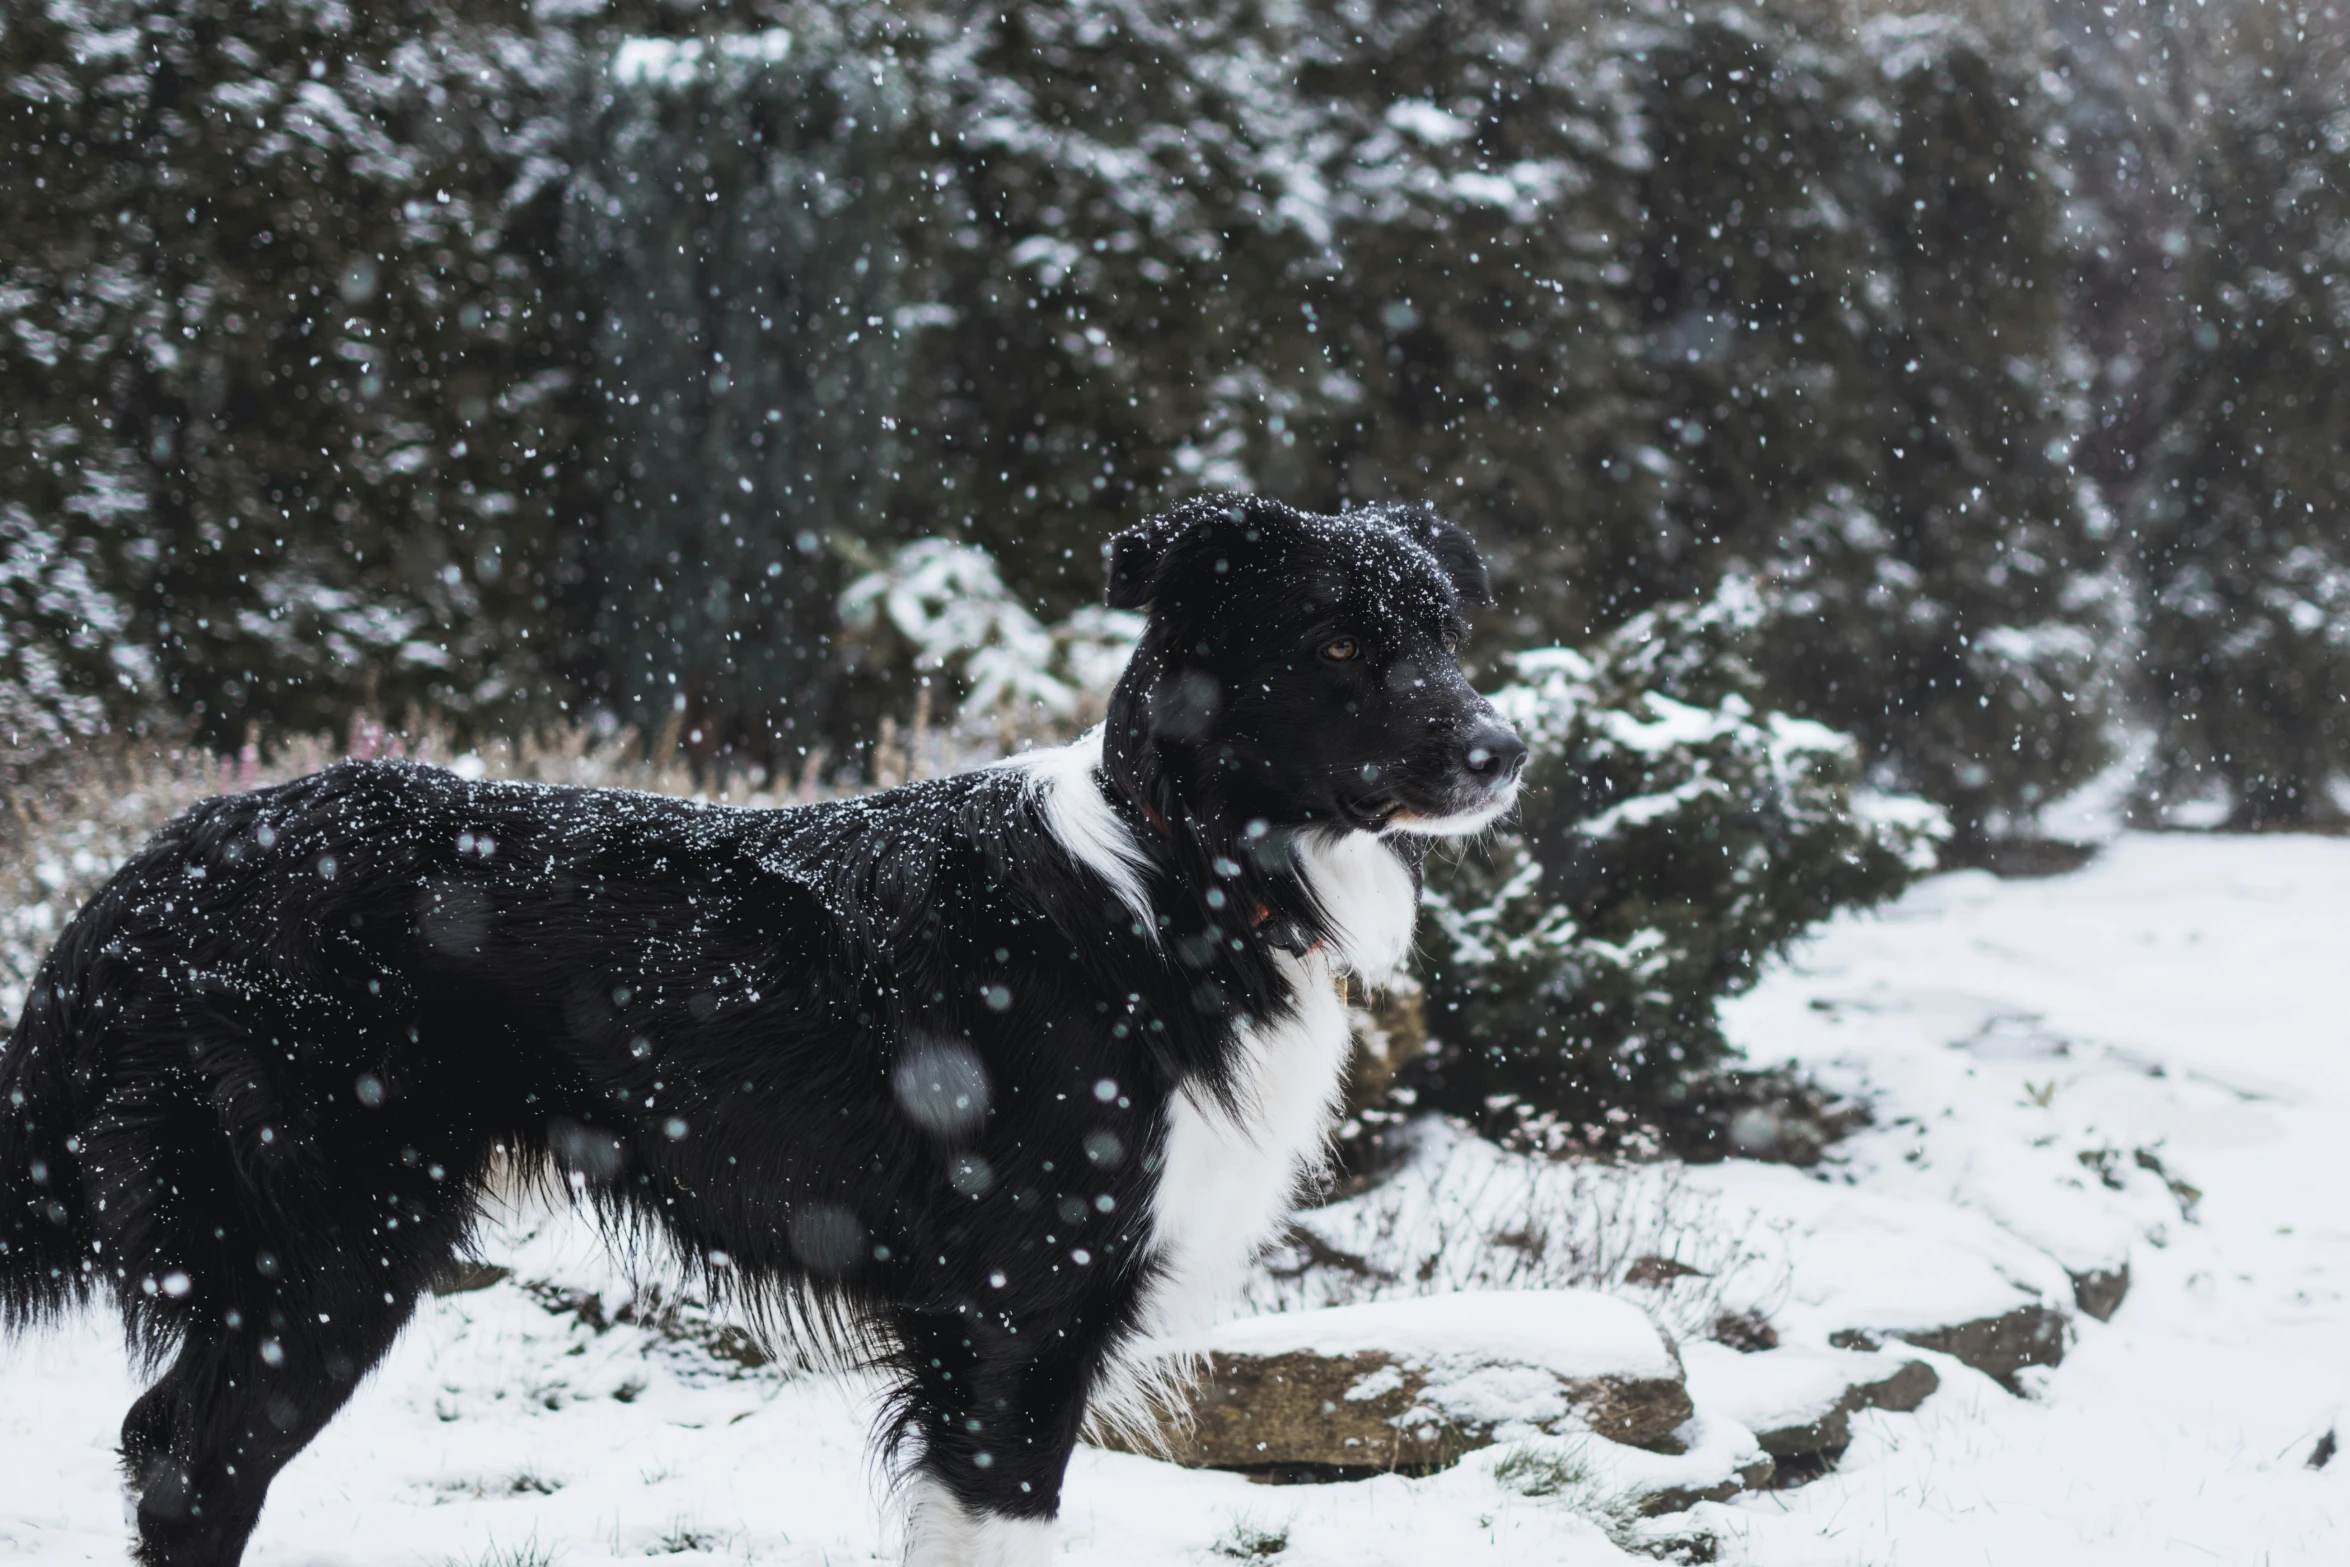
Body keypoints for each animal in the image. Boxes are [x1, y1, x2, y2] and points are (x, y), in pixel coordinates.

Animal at [0, 500, 1522, 1567]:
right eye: (1336, 642)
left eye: (1444, 635)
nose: (1504, 749)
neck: (1174, 871)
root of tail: (157, 863)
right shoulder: (1017, 1321)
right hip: (331, 1241)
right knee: (189, 1463)